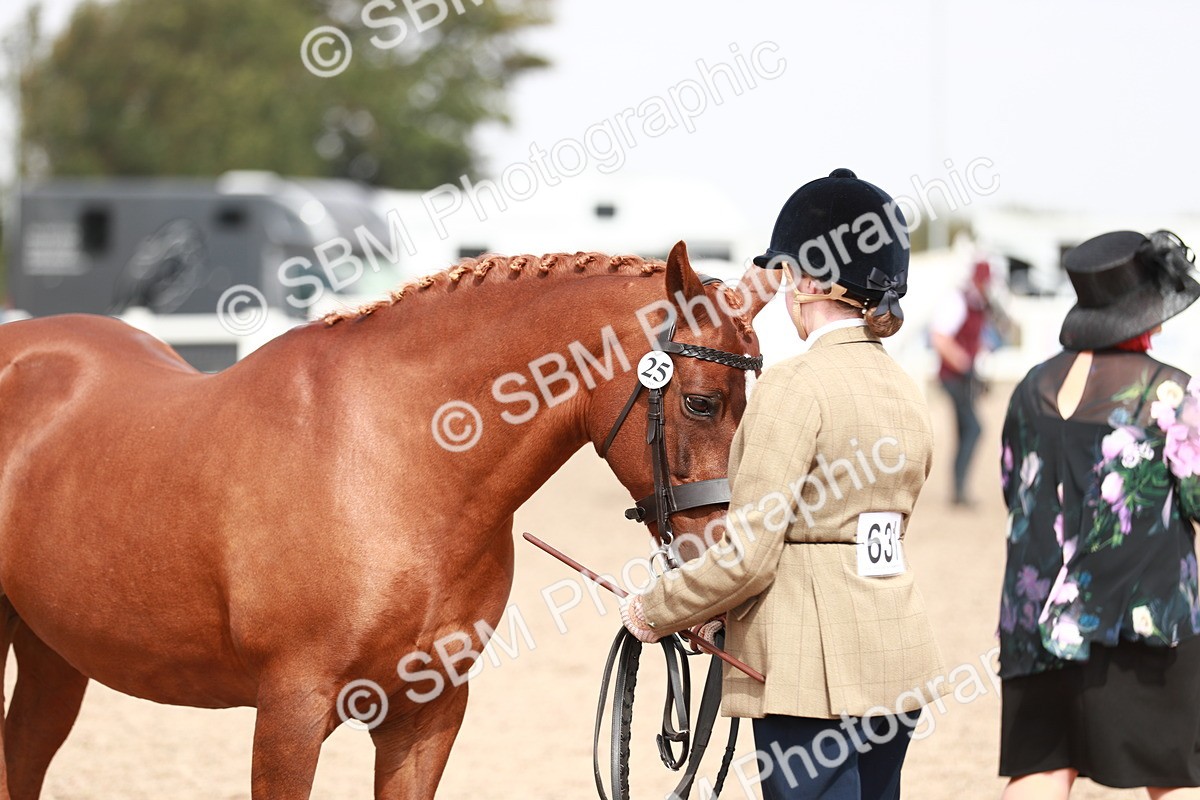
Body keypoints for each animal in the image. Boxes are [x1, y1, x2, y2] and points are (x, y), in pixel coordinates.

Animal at [0, 241, 776, 799]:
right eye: (702, 402)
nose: (731, 559)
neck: (390, 462)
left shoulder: (425, 715)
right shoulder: (290, 714)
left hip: (54, 653)